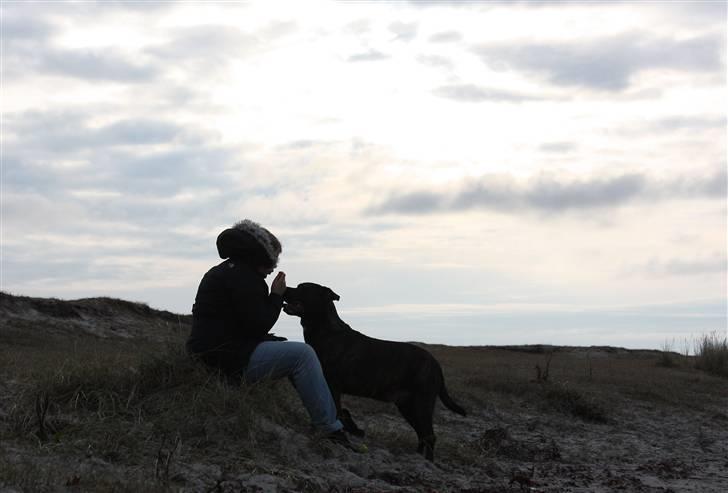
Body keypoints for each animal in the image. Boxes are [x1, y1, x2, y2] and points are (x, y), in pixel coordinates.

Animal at [284, 282, 466, 460]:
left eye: (303, 288)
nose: (284, 288)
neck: (324, 330)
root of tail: (436, 364)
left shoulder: (332, 385)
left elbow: (335, 411)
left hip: (422, 403)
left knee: (429, 435)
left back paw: (426, 462)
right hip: (407, 405)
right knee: (422, 434)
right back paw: (417, 457)